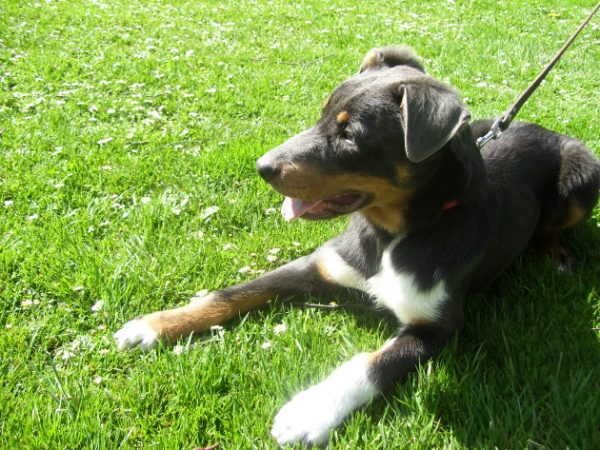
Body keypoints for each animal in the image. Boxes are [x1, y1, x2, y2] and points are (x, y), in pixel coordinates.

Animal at [114, 46, 600, 446]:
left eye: (351, 136)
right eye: (322, 115)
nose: (262, 167)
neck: (391, 235)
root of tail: (544, 128)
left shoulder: (436, 326)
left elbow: (370, 364)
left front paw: (310, 411)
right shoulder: (320, 264)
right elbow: (237, 292)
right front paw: (153, 325)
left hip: (583, 175)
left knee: (555, 225)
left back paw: (558, 254)